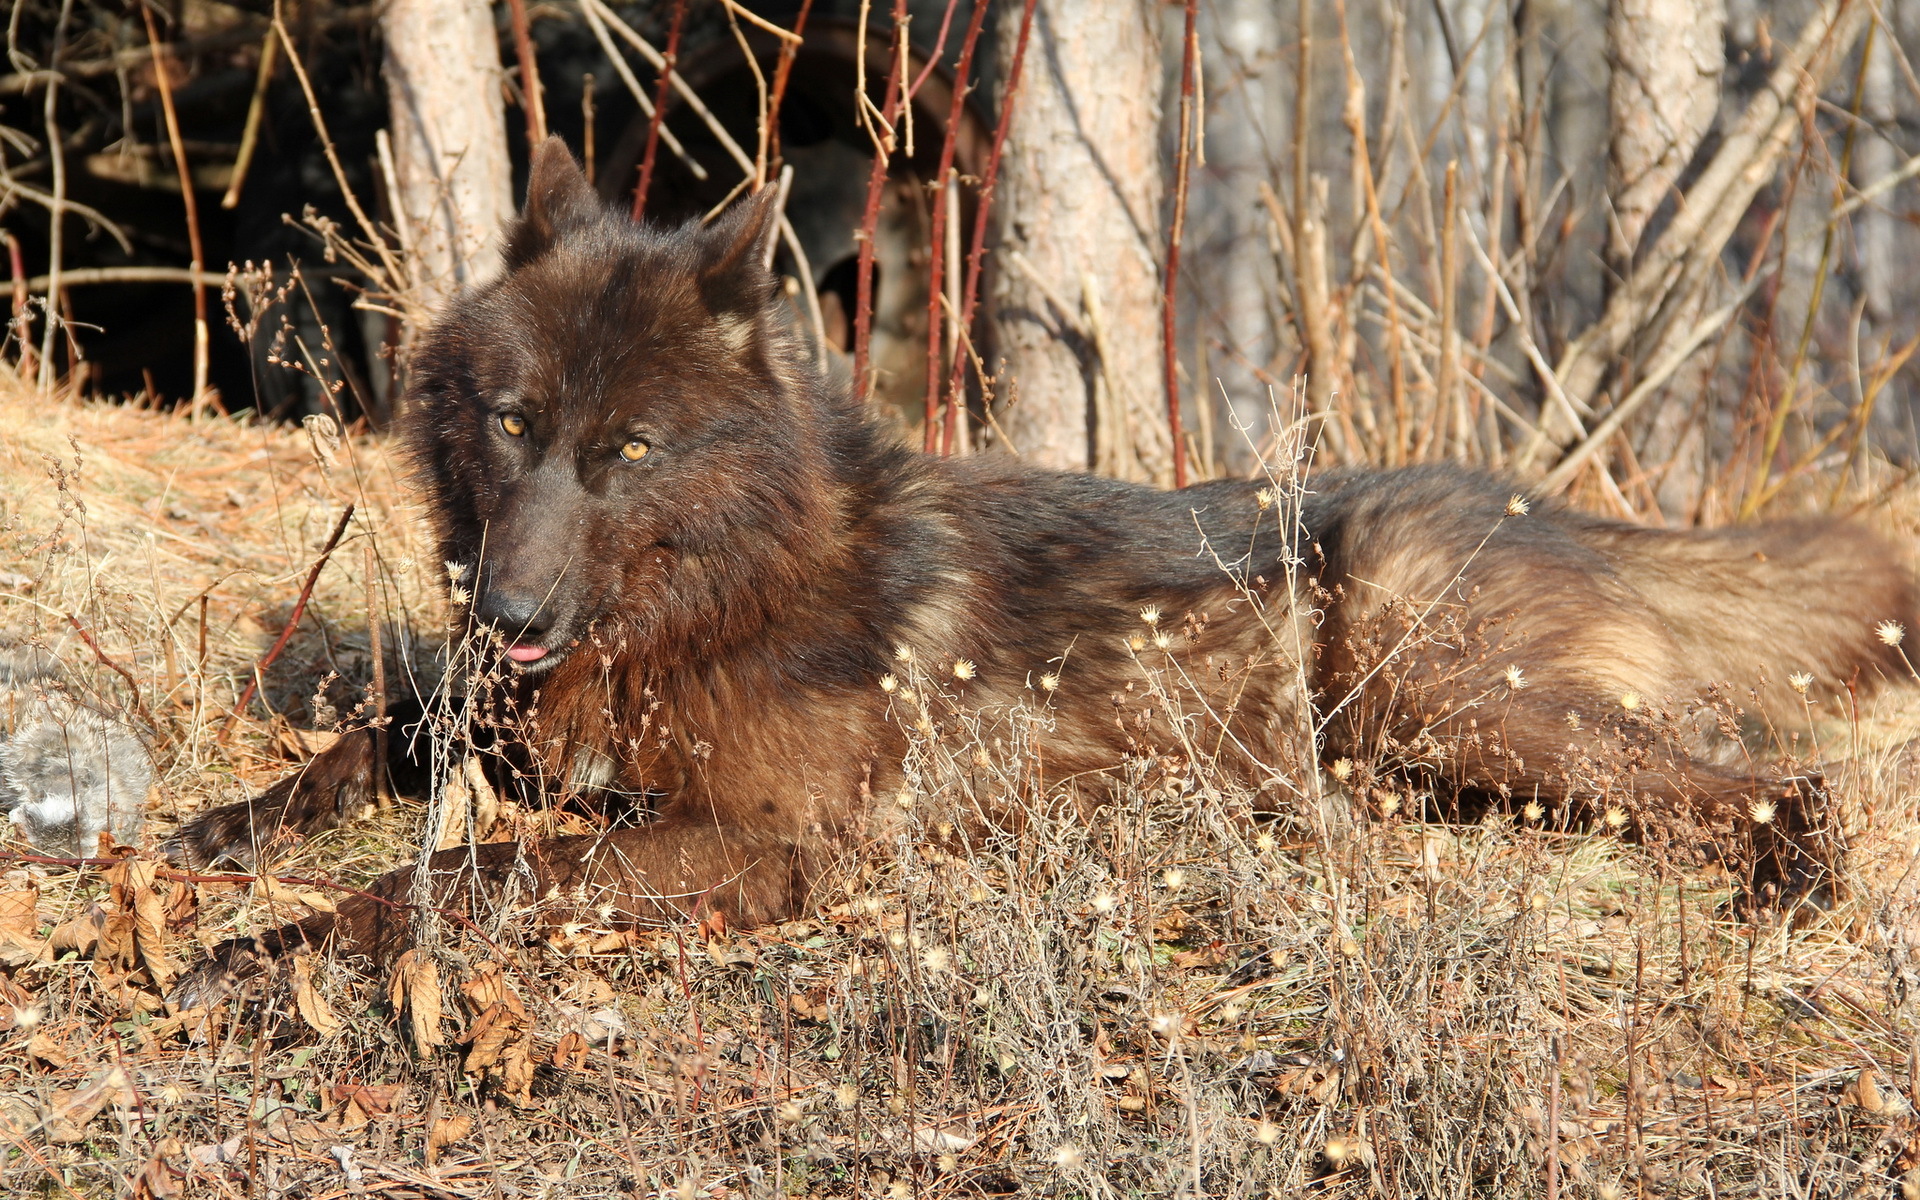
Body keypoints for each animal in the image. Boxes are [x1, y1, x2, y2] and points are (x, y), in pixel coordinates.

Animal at [168, 138, 1920, 998]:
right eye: (515, 425)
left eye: (633, 453)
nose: (512, 610)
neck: (721, 591)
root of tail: (1544, 505)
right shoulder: (504, 719)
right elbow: (374, 745)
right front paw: (216, 840)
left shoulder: (773, 846)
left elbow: (465, 871)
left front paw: (255, 957)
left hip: (1433, 697)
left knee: (1785, 782)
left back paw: (1798, 883)